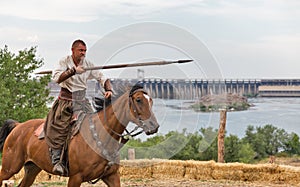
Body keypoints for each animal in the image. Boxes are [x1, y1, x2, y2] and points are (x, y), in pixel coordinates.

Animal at [0, 85, 161, 186]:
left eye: (151, 101)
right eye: (139, 100)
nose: (154, 126)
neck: (99, 137)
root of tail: (18, 126)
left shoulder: (112, 176)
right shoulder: (75, 178)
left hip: (32, 169)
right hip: (9, 168)